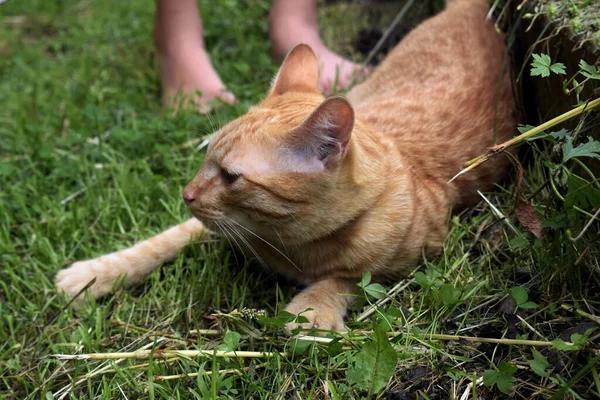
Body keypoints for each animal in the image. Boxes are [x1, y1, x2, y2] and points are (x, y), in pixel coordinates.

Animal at [55, 0, 516, 332]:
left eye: (231, 177)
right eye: (205, 158)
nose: (186, 194)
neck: (285, 242)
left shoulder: (419, 250)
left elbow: (347, 277)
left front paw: (312, 310)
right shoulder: (210, 225)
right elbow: (162, 240)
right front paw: (96, 274)